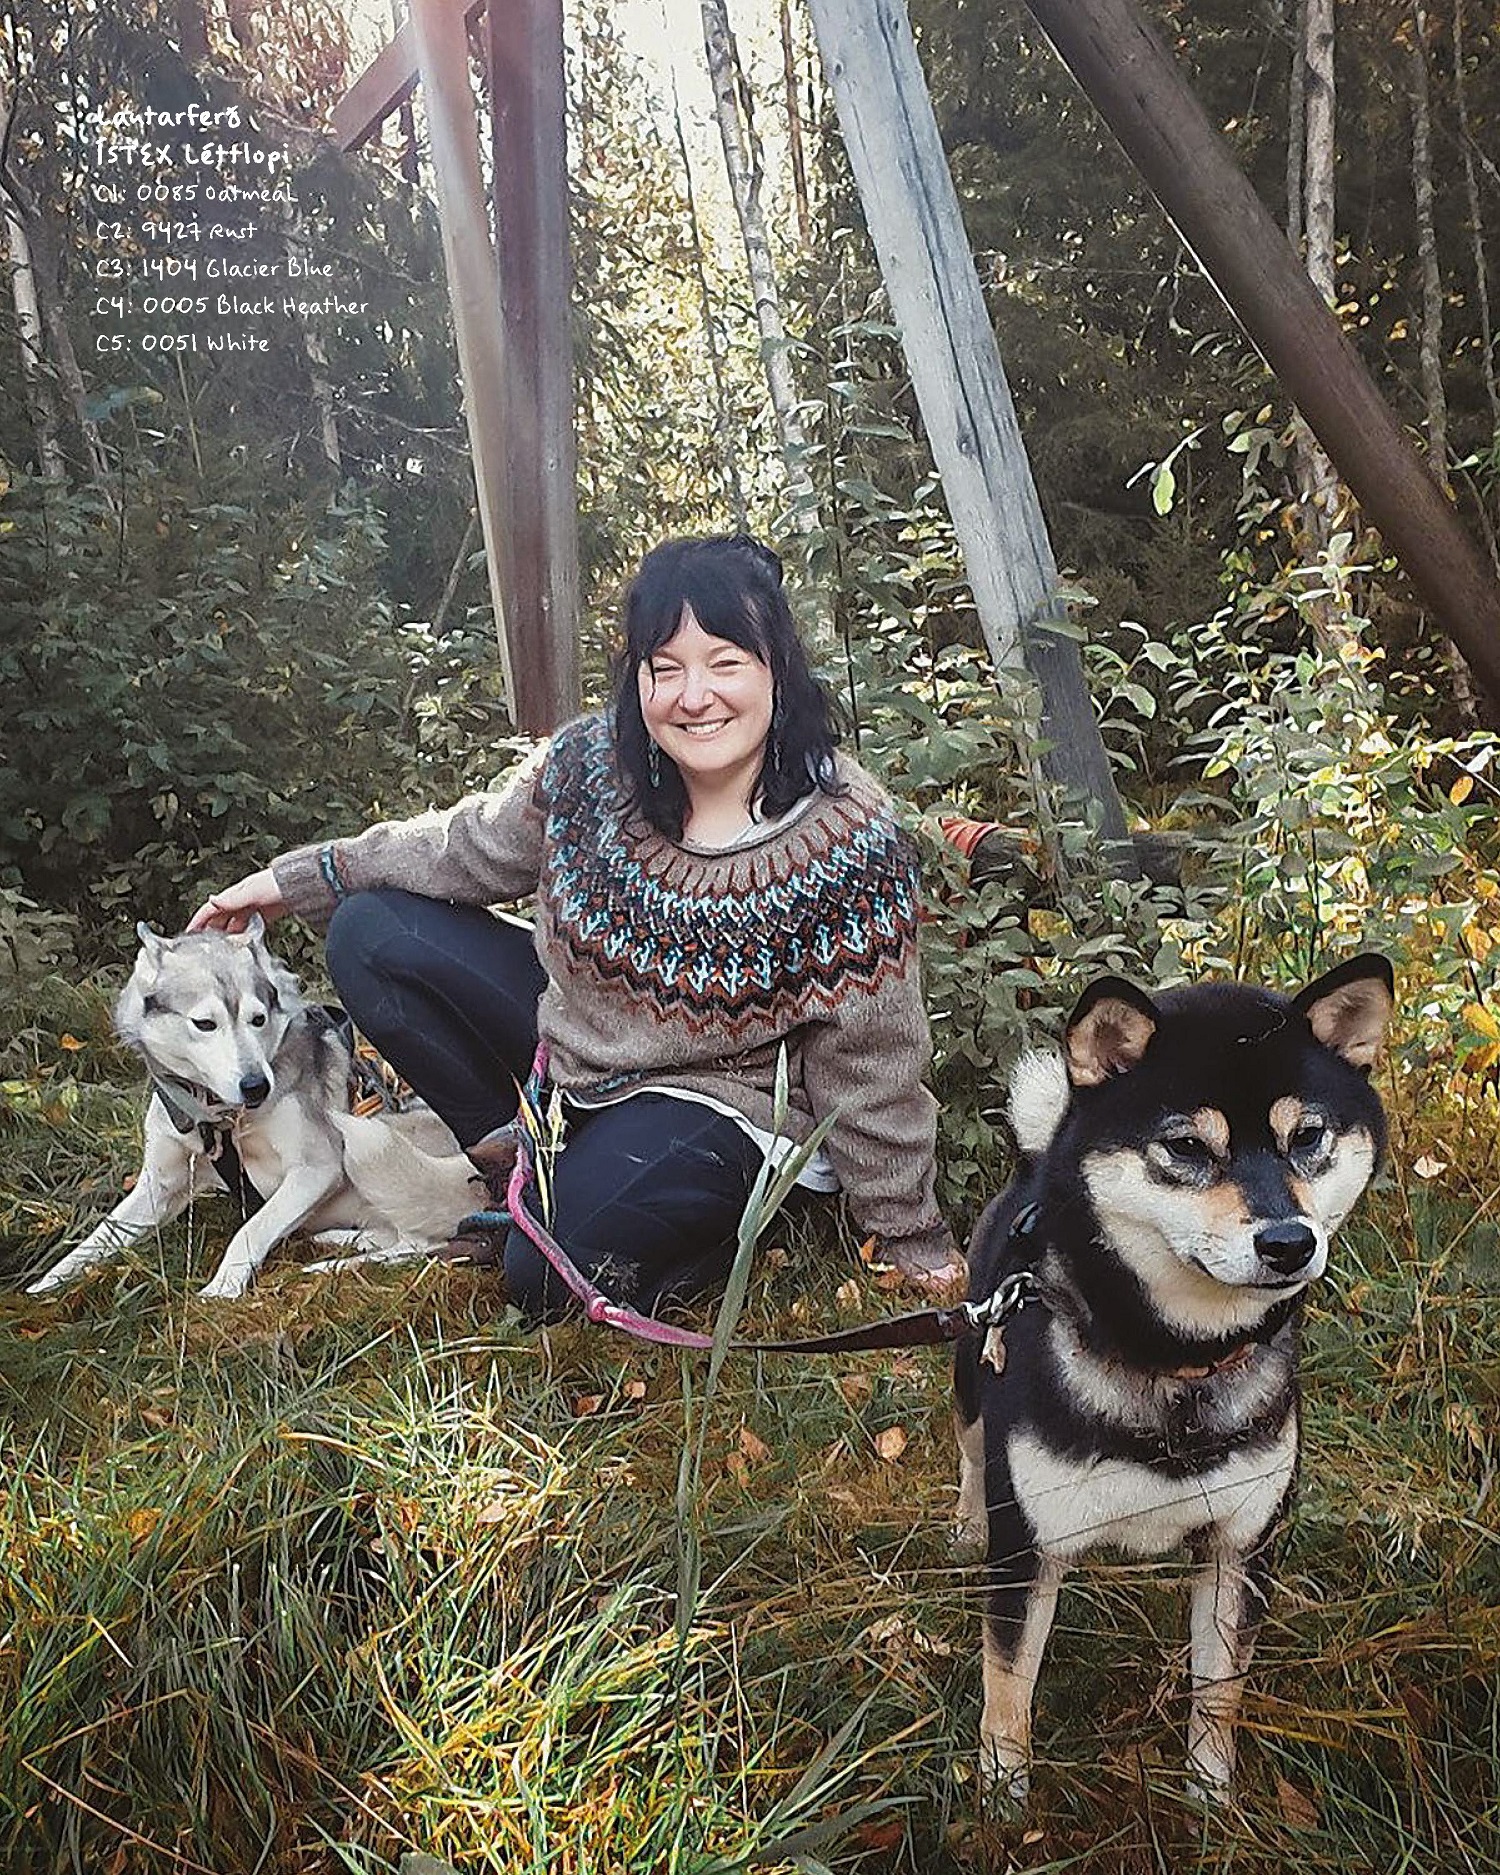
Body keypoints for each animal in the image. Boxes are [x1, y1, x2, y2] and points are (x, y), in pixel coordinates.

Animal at [27, 918, 480, 1300]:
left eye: (258, 1018)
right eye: (204, 1023)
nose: (256, 1086)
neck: (221, 1118)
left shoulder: (317, 1170)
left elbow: (252, 1228)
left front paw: (223, 1287)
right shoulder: (159, 1187)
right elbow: (98, 1238)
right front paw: (45, 1285)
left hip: (386, 1138)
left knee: (423, 1241)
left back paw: (330, 1266)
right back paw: (341, 1239)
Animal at [954, 955, 1393, 1802]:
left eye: (1308, 1136)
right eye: (1186, 1145)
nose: (1288, 1241)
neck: (1175, 1361)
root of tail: (1029, 1166)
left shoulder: (1241, 1547)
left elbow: (1219, 1691)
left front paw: (1212, 1798)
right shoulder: (1028, 1548)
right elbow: (1007, 1690)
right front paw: (1000, 1801)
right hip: (969, 1372)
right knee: (967, 1448)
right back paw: (963, 1521)